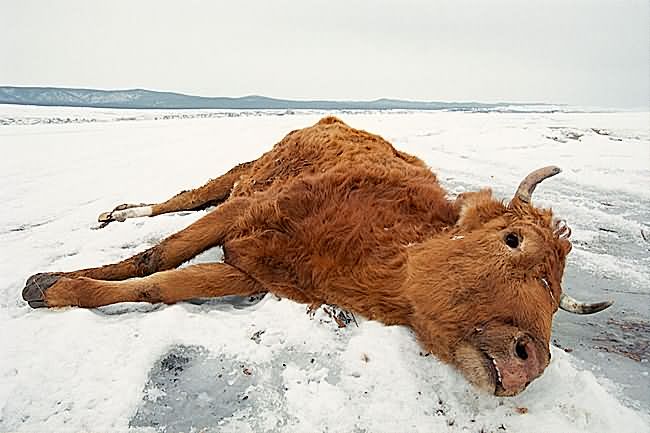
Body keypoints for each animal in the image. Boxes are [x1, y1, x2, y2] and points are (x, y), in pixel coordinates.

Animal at [20, 115, 612, 394]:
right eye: (513, 240)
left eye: (556, 300)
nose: (529, 360)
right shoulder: (245, 212)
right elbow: (158, 256)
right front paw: (49, 282)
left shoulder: (252, 272)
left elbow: (162, 285)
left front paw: (60, 289)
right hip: (241, 172)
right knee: (182, 199)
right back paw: (120, 213)